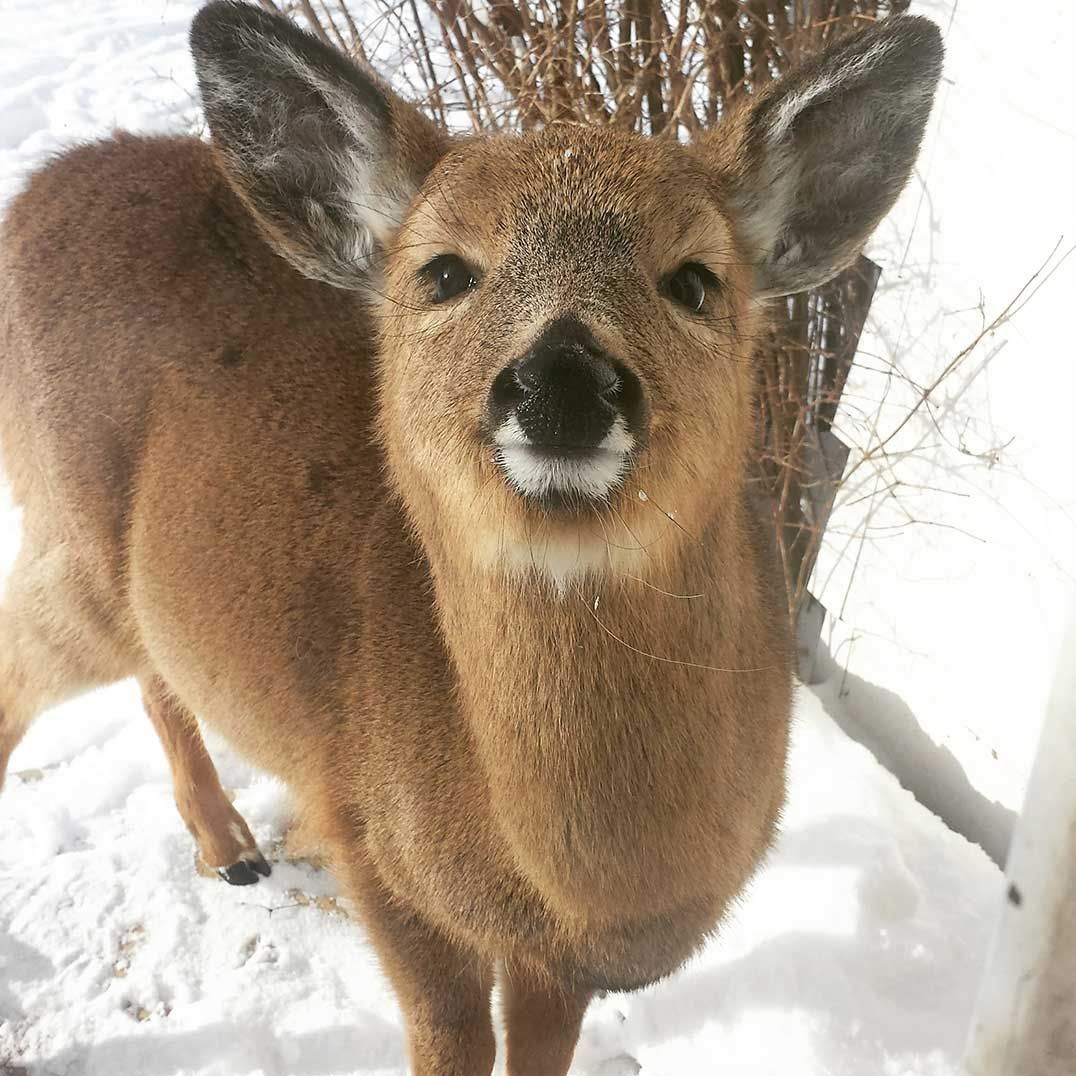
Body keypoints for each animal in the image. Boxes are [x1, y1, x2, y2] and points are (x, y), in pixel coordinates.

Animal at [0, 3, 941, 1072]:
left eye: (696, 281)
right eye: (445, 271)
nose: (563, 375)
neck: (575, 889)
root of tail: (38, 189)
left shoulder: (557, 964)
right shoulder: (379, 857)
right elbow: (449, 1038)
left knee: (158, 674)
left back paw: (231, 849)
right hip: (62, 531)